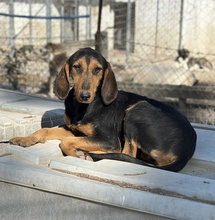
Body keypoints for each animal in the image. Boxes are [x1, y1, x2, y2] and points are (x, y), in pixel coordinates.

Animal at [9, 47, 197, 172]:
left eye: (97, 70)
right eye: (77, 67)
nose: (85, 95)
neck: (82, 107)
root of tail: (185, 150)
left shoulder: (107, 139)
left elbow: (66, 142)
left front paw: (76, 154)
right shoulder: (75, 130)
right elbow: (45, 130)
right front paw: (25, 139)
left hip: (137, 110)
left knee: (124, 151)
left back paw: (90, 154)